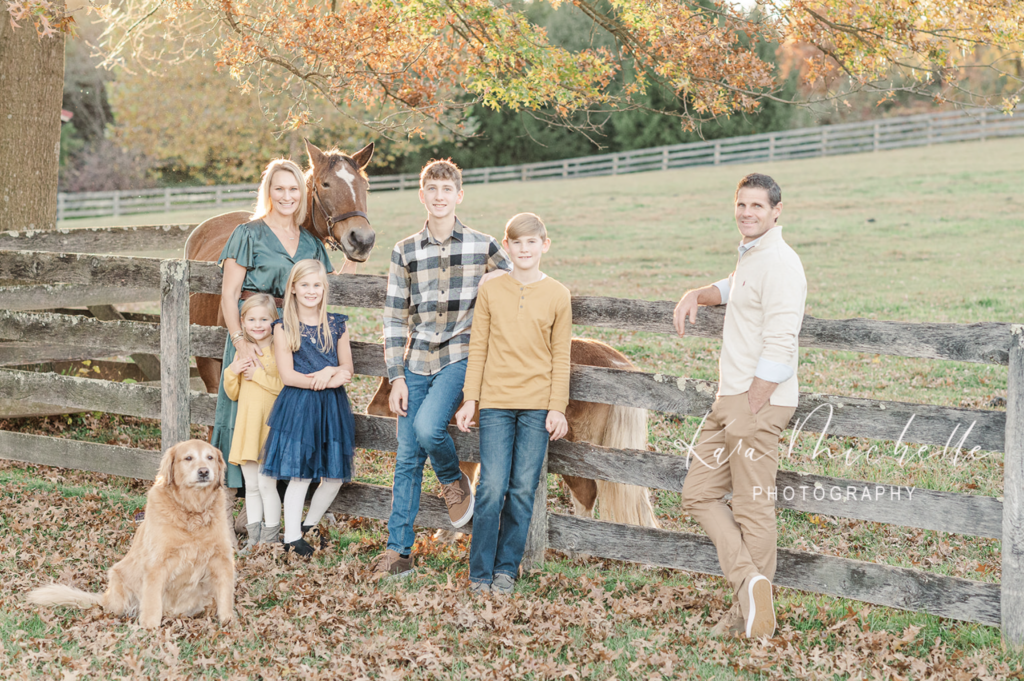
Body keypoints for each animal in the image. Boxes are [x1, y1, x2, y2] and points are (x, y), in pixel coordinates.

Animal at [28, 440, 237, 626]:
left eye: (210, 457)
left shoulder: (222, 559)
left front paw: (228, 622)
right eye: (188, 458)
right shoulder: (156, 563)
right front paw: (150, 627)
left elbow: (226, 595)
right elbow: (152, 601)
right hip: (119, 581)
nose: (204, 472)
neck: (192, 511)